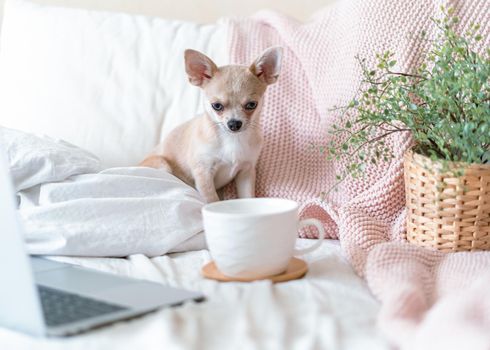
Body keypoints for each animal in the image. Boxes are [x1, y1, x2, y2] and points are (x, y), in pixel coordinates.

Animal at [140, 46, 282, 202]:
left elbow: (248, 197)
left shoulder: (246, 171)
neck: (231, 139)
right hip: (162, 165)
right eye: (217, 106)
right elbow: (212, 200)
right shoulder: (204, 172)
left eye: (252, 105)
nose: (234, 123)